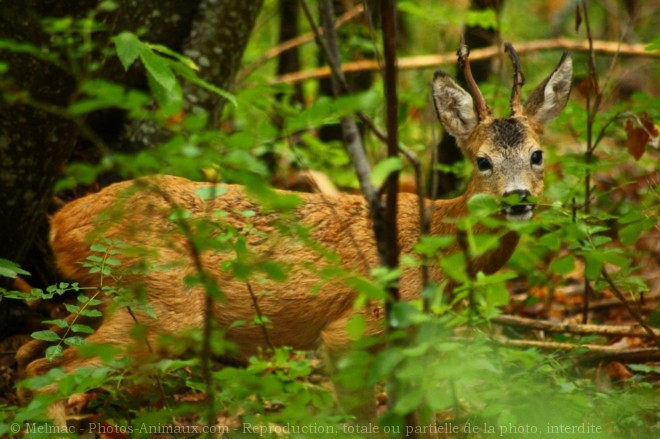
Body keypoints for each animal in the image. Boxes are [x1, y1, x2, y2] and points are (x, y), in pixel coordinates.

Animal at [16, 44, 572, 426]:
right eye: (482, 161)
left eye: (537, 155)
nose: (517, 198)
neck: (435, 241)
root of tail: (62, 222)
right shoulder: (351, 330)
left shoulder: (414, 340)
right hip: (161, 304)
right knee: (42, 374)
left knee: (28, 357)